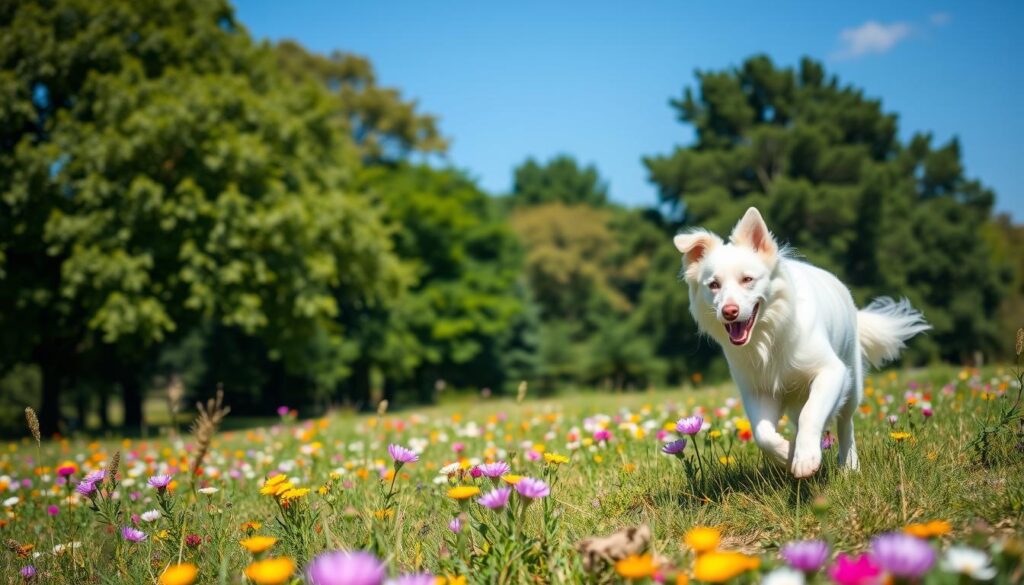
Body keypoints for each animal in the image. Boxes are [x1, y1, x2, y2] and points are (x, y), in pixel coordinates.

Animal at [675, 207, 933, 477]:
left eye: (747, 279)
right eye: (714, 285)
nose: (729, 311)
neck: (769, 337)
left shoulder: (831, 371)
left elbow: (812, 413)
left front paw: (806, 458)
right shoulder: (758, 391)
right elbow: (762, 434)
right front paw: (788, 453)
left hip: (852, 383)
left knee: (845, 423)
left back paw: (849, 465)